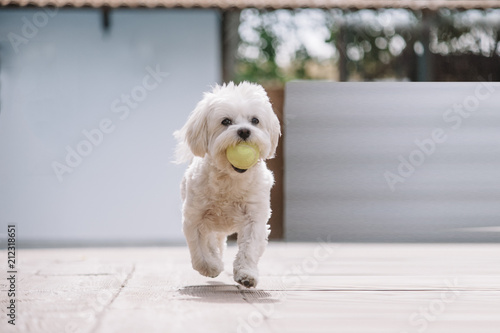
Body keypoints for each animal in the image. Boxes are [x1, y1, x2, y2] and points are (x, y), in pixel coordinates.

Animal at [174, 81, 280, 286]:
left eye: (255, 120)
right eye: (226, 122)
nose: (244, 131)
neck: (230, 179)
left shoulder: (254, 217)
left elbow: (249, 247)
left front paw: (247, 274)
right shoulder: (195, 218)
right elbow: (200, 248)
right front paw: (210, 266)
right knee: (212, 241)